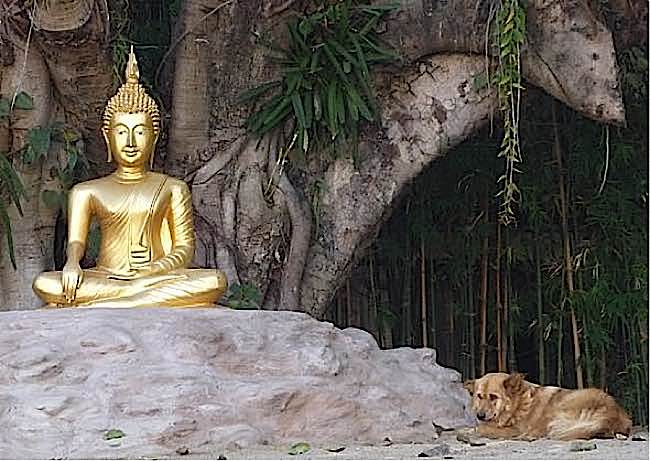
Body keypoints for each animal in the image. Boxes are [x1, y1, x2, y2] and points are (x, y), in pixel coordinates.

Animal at [464, 370, 632, 438]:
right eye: (479, 396)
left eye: (493, 397)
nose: (480, 415)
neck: (518, 406)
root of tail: (612, 413)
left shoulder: (515, 429)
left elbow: (482, 428)